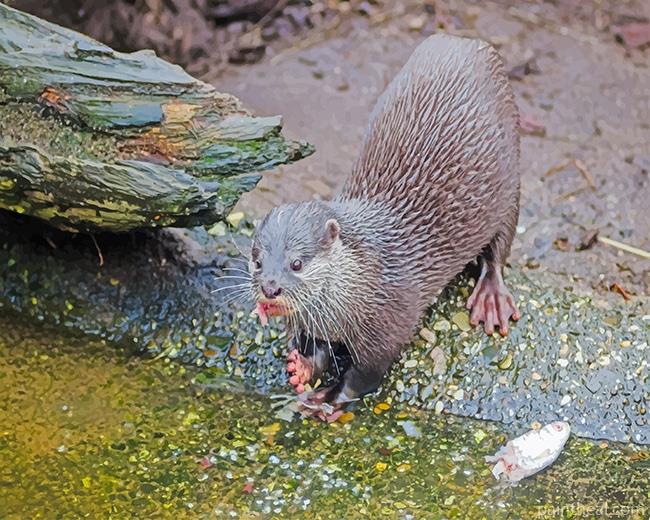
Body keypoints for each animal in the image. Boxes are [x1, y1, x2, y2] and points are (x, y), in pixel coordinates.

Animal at [249, 34, 521, 421]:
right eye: (257, 261)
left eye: (297, 263)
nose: (270, 288)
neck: (367, 281)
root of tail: (464, 40)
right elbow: (320, 350)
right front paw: (302, 367)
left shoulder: (388, 326)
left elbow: (364, 376)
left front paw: (327, 399)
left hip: (511, 183)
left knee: (499, 249)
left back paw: (491, 298)